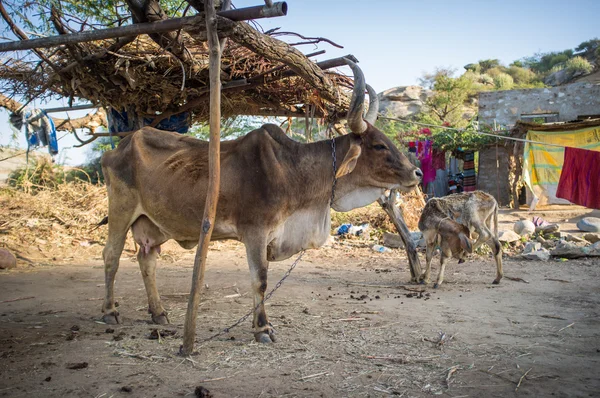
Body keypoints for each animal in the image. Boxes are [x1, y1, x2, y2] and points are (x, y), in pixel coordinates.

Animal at [99, 59, 422, 342]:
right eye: (379, 146)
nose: (416, 172)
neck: (292, 171)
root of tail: (120, 146)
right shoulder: (255, 232)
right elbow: (260, 280)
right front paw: (262, 328)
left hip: (153, 224)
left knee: (147, 260)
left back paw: (159, 313)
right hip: (121, 210)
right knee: (111, 256)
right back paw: (110, 312)